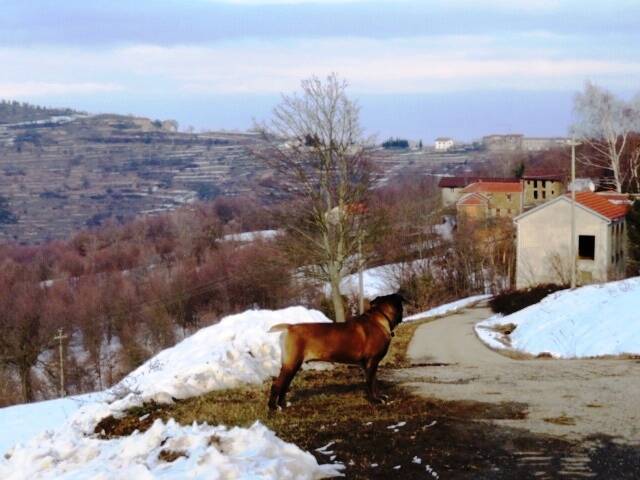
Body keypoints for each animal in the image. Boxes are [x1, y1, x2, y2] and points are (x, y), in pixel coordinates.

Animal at [267, 292, 405, 411]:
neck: (380, 318)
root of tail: (290, 327)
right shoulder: (371, 362)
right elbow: (371, 382)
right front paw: (376, 400)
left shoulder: (369, 364)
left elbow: (373, 381)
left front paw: (379, 397)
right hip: (291, 364)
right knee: (277, 385)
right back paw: (273, 408)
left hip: (292, 366)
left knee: (284, 385)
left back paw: (283, 405)